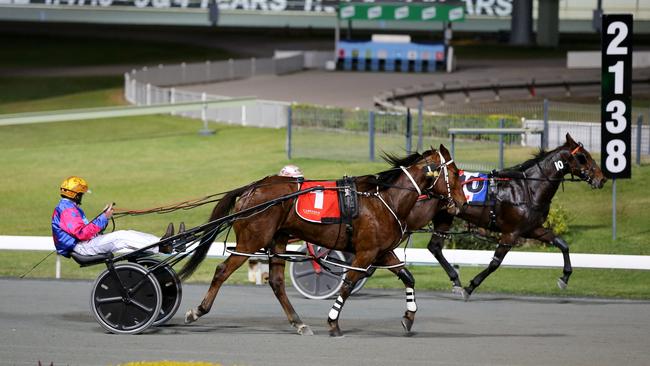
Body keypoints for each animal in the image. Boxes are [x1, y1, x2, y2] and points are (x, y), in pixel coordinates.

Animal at [176, 146, 466, 338]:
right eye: (455, 174)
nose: (462, 203)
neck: (385, 199)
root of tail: (251, 188)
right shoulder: (366, 252)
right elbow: (348, 284)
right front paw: (333, 322)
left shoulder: (382, 251)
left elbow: (407, 277)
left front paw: (409, 317)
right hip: (251, 240)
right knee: (222, 270)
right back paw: (198, 311)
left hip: (277, 241)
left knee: (277, 282)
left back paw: (298, 322)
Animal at [404, 133, 604, 298]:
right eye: (583, 157)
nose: (602, 178)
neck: (527, 188)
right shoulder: (511, 233)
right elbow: (495, 263)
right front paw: (470, 287)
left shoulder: (532, 229)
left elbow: (562, 244)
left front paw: (565, 277)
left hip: (445, 217)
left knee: (435, 246)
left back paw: (455, 279)